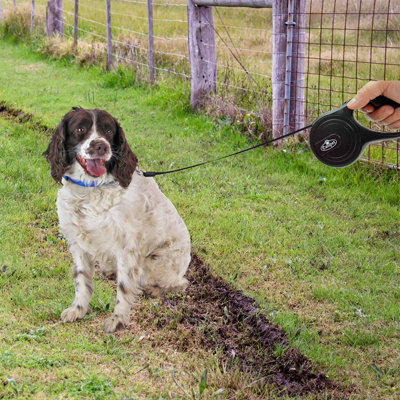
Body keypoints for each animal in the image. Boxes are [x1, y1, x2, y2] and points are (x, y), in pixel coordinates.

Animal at [43, 108, 191, 332]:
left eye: (109, 131)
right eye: (80, 129)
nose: (101, 146)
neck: (91, 188)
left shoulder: (127, 247)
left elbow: (124, 288)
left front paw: (118, 320)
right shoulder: (78, 244)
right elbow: (81, 280)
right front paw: (78, 310)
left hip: (157, 262)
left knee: (179, 283)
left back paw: (153, 290)